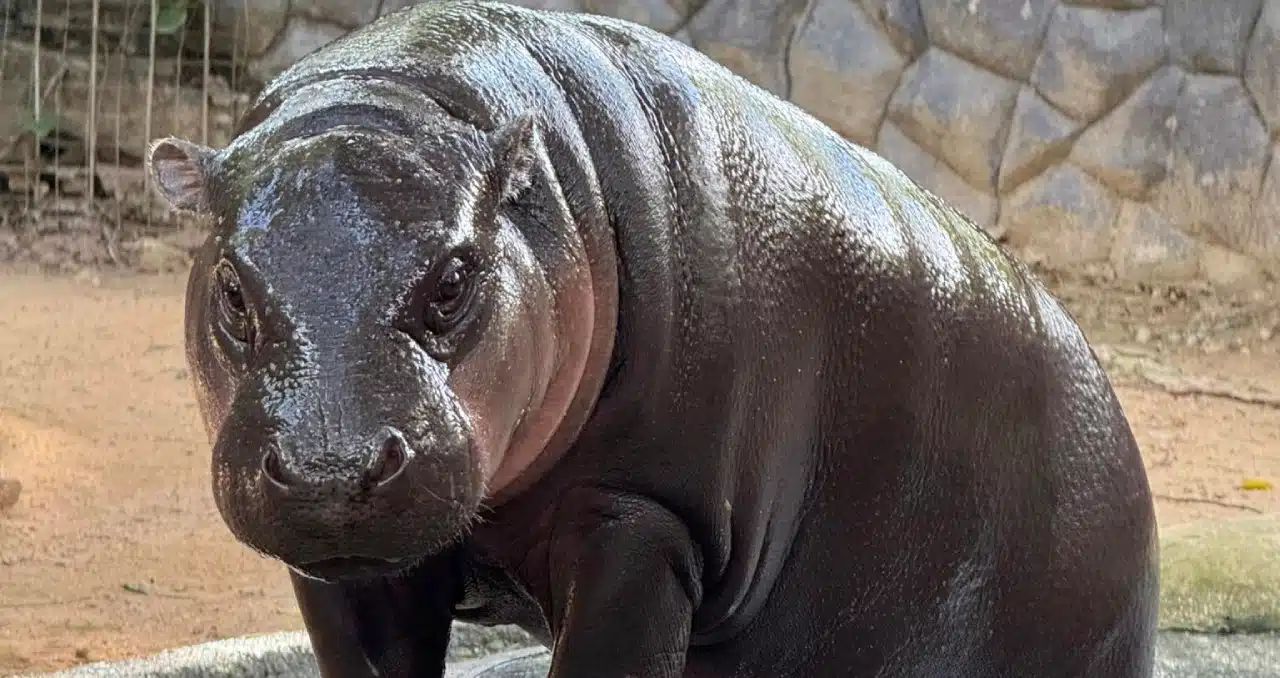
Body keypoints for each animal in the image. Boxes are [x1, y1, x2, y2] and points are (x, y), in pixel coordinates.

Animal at [144, 1, 1159, 676]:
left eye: (455, 279)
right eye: (229, 287)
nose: (329, 467)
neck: (398, 100)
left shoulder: (644, 517)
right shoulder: (344, 565)